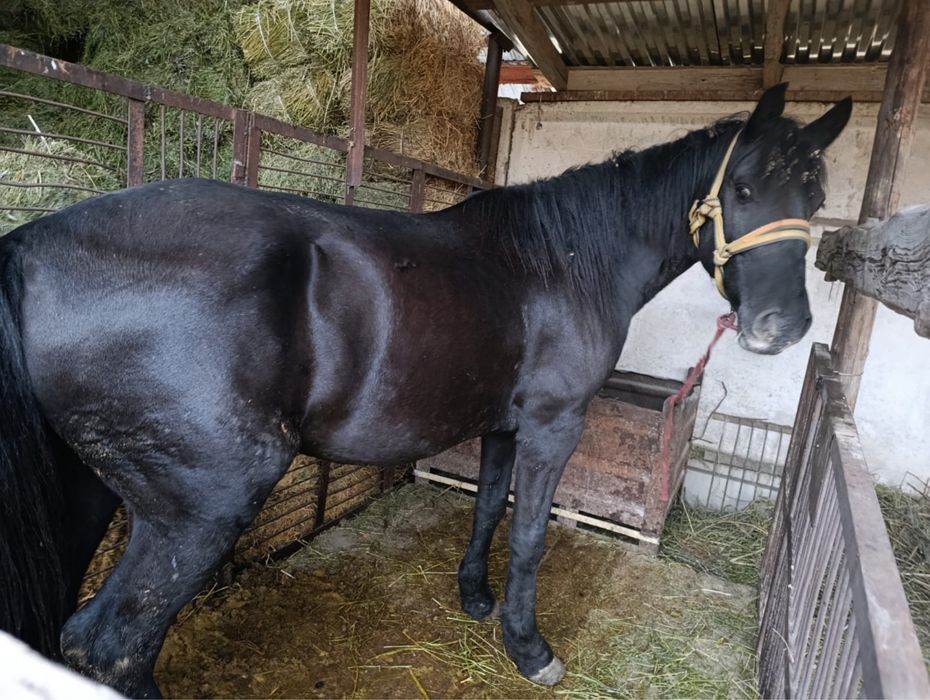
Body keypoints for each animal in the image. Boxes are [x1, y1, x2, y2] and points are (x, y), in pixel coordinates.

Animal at [0, 83, 850, 697]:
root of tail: (31, 246)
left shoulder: (505, 424)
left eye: (817, 199)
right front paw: (527, 646)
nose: (779, 327)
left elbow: (487, 509)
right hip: (203, 505)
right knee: (110, 648)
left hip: (89, 490)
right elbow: (530, 535)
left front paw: (475, 598)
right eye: (743, 188)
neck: (560, 261)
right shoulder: (554, 424)